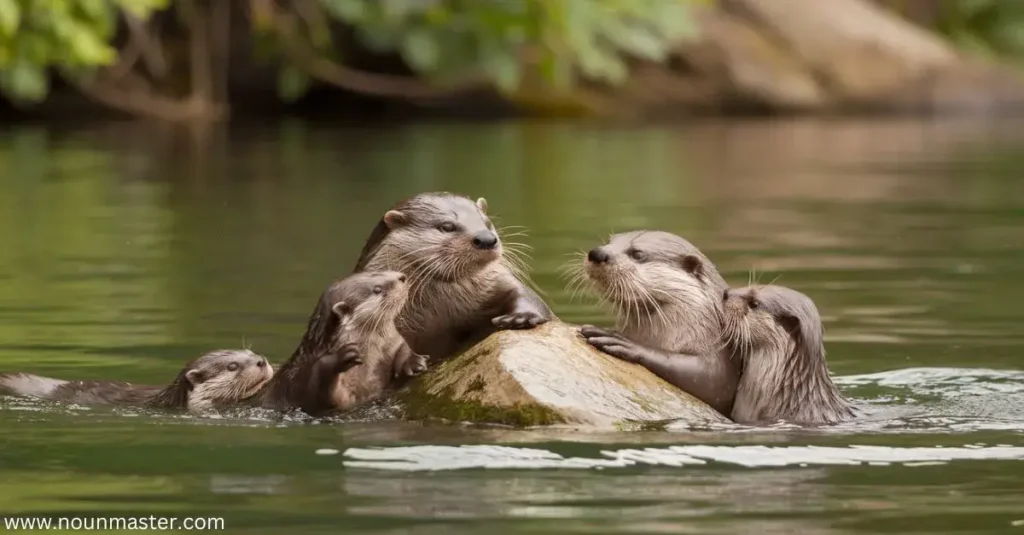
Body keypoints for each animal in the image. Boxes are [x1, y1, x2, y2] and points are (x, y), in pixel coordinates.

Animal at [251, 268, 428, 414]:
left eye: (384, 271)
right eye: (377, 289)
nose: (402, 277)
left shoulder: (393, 342)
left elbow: (404, 347)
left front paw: (413, 362)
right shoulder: (306, 388)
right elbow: (319, 389)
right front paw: (339, 358)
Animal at [354, 189, 561, 360]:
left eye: (487, 223)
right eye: (447, 226)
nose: (487, 239)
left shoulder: (498, 279)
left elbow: (525, 294)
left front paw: (522, 316)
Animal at [569, 228, 745, 416]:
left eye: (638, 254)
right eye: (608, 242)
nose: (597, 253)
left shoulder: (720, 360)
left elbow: (711, 381)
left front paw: (623, 341)